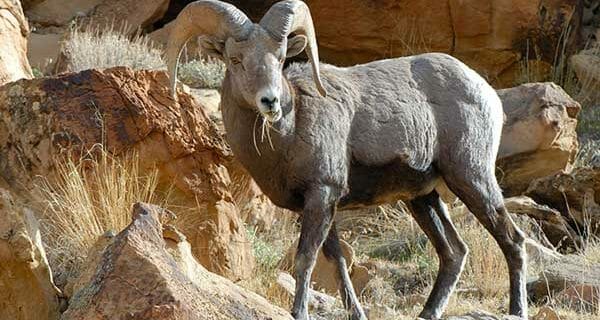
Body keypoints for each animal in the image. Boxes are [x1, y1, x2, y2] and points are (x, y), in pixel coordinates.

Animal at [166, 1, 528, 318]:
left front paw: (299, 312)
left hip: (471, 178)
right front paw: (356, 313)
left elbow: (305, 259)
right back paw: (428, 312)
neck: (289, 131)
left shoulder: (321, 195)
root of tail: (486, 93)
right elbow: (338, 262)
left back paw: (516, 310)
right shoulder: (320, 205)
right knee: (454, 252)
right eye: (236, 59)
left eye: (280, 58)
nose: (270, 102)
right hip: (423, 198)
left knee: (513, 240)